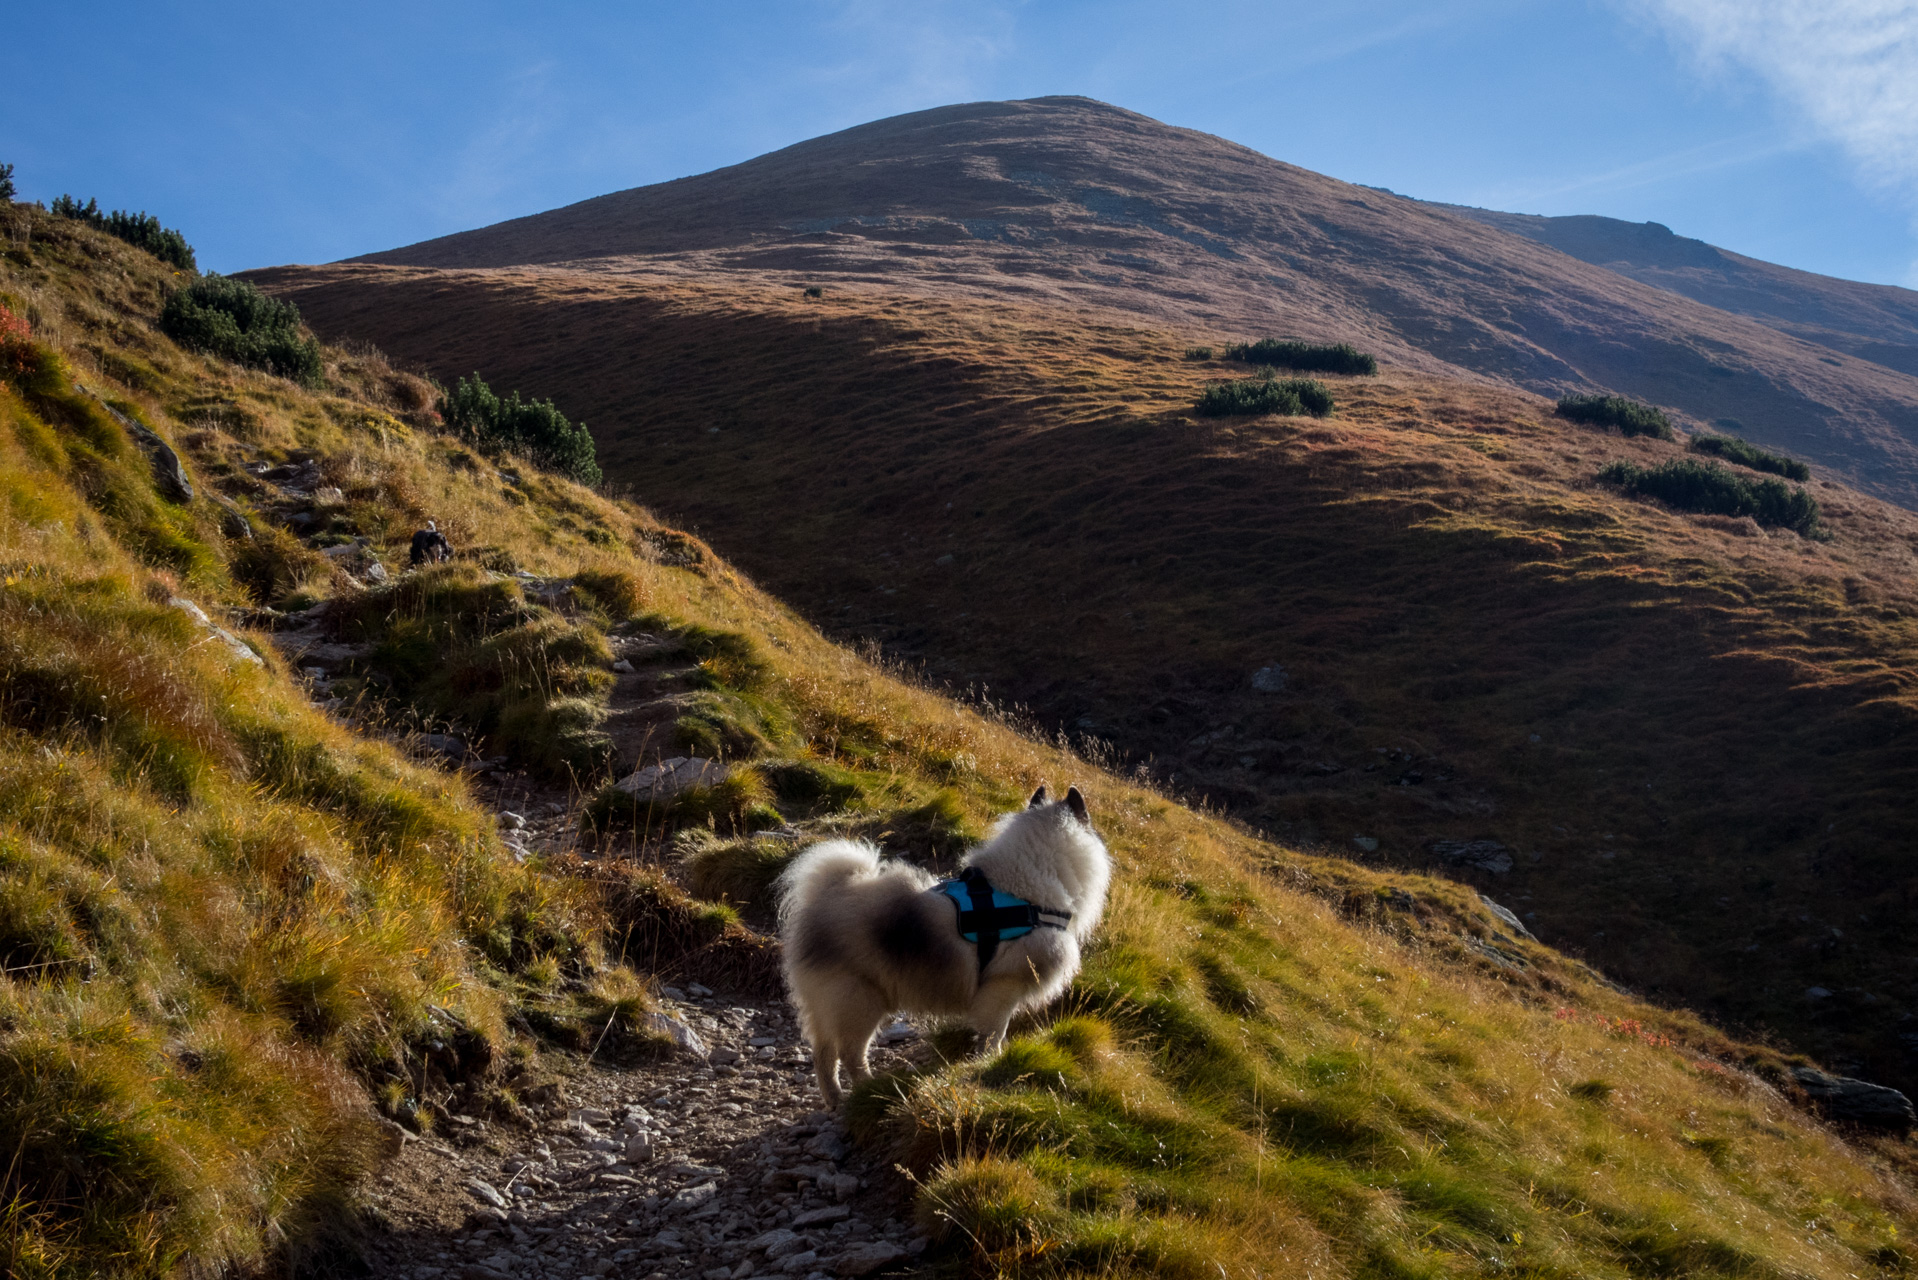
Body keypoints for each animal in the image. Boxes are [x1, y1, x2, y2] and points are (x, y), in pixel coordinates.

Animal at [774, 786, 1112, 1105]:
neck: (1026, 896)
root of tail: (824, 897)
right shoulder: (1003, 989)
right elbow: (994, 1034)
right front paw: (990, 1061)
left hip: (826, 1004)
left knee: (823, 1055)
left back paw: (834, 1099)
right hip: (858, 1001)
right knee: (849, 1054)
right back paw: (869, 1089)